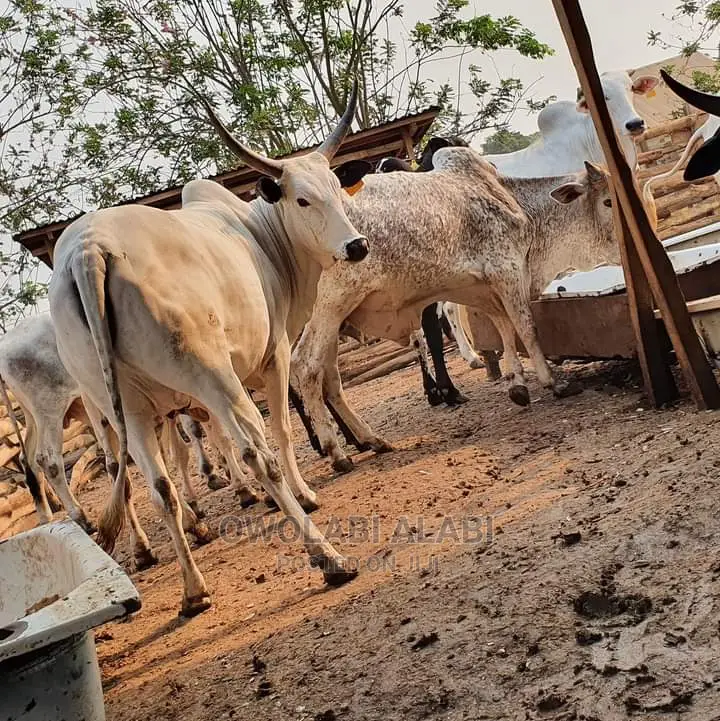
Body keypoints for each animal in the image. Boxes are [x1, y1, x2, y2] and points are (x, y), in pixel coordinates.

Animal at [48, 87, 371, 616]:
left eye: (339, 191)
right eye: (303, 198)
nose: (357, 246)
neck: (263, 238)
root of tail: (87, 250)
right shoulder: (272, 357)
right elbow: (283, 430)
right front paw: (306, 492)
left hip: (128, 408)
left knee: (157, 486)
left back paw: (194, 589)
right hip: (210, 375)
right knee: (258, 453)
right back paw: (327, 557)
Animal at [291, 150, 619, 473]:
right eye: (607, 201)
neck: (513, 201)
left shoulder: (480, 287)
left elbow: (504, 328)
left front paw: (517, 384)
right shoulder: (508, 270)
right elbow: (526, 327)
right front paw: (553, 382)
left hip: (332, 322)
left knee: (329, 379)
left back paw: (367, 440)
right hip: (330, 307)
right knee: (305, 366)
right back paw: (335, 451)